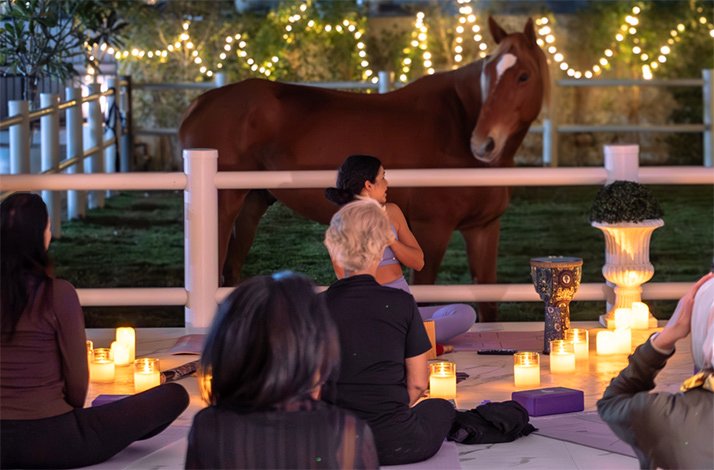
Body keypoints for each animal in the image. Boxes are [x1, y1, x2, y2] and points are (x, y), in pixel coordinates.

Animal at [179, 16, 549, 322]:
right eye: (488, 74)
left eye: (524, 76)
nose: (483, 144)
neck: (455, 125)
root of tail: (200, 103)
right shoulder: (431, 230)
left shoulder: (484, 229)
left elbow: (488, 303)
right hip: (223, 208)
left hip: (253, 204)